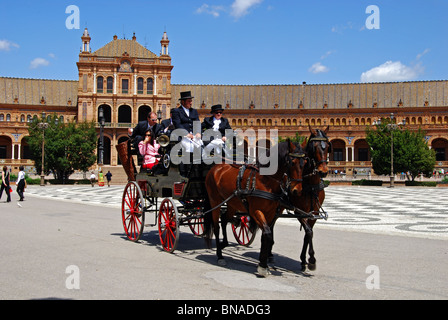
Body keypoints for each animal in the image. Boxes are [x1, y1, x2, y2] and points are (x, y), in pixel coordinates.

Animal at [204, 141, 306, 276]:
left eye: (305, 163)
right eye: (292, 162)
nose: (297, 191)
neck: (266, 181)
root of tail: (215, 168)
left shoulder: (270, 213)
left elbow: (266, 236)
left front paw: (264, 263)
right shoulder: (255, 211)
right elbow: (267, 233)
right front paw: (262, 266)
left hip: (231, 203)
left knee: (225, 219)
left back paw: (224, 243)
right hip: (215, 202)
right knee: (216, 227)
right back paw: (220, 256)